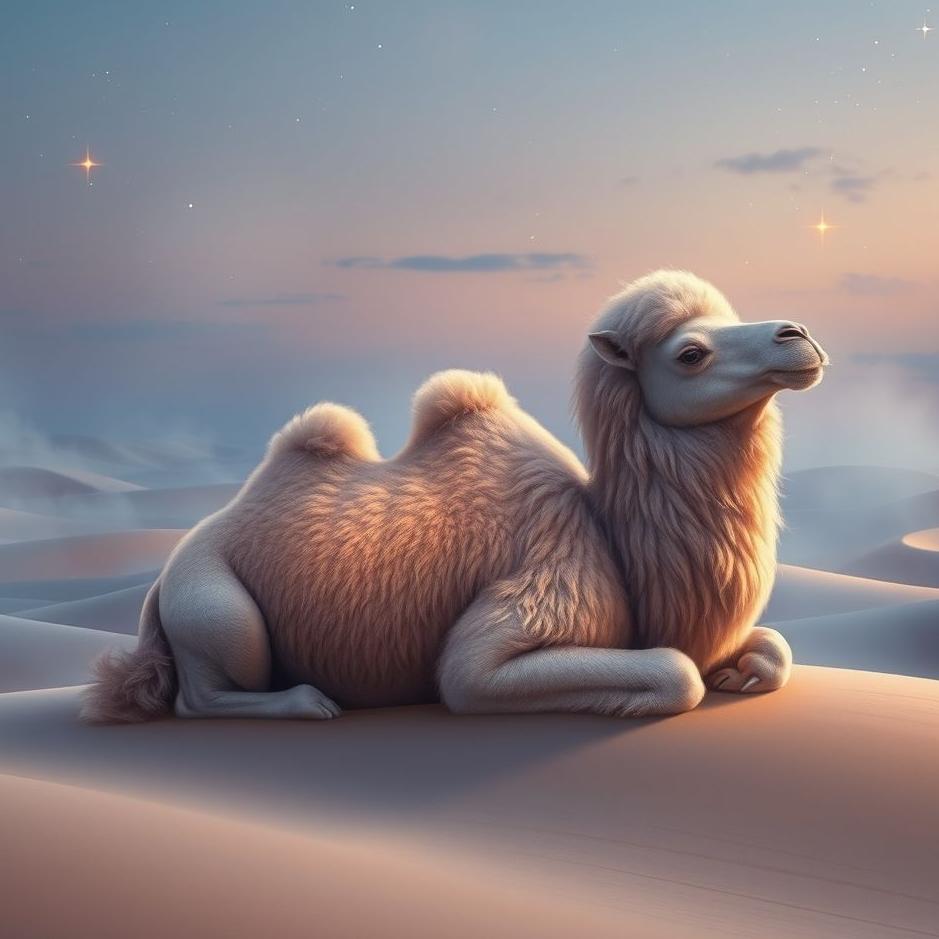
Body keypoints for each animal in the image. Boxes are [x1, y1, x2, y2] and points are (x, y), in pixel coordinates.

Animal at [82, 270, 828, 722]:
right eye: (690, 353)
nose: (798, 335)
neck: (613, 540)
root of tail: (165, 573)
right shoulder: (528, 602)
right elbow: (674, 671)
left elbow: (772, 650)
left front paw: (743, 670)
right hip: (213, 601)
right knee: (201, 696)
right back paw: (307, 702)